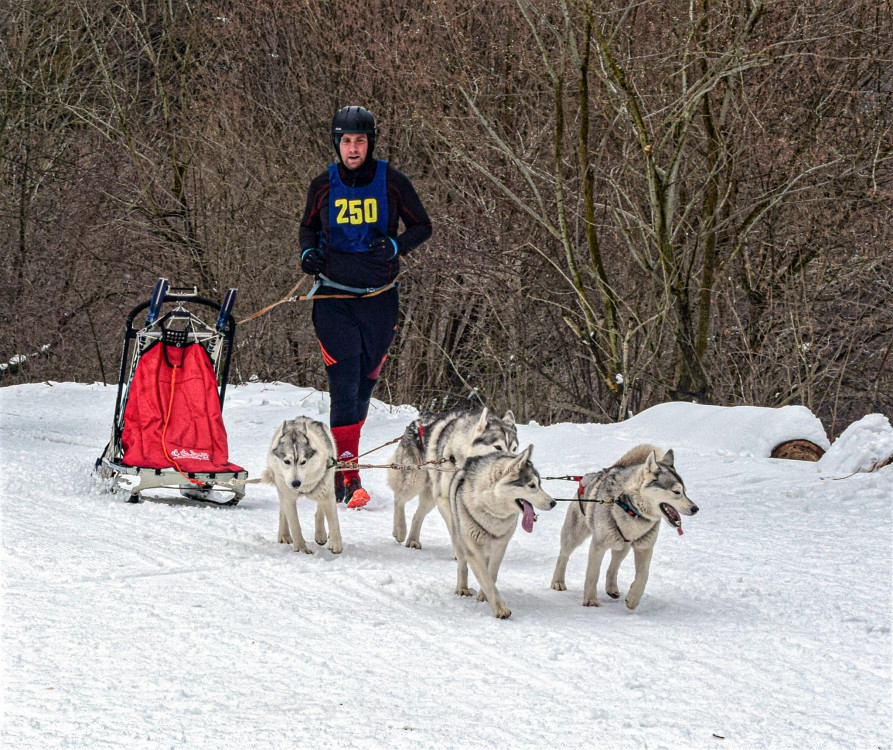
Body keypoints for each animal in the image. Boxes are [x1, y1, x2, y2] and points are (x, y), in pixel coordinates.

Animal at [262, 420, 342, 556]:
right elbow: (294, 524)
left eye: (303, 462)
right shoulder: (288, 498)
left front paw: (336, 544)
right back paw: (284, 535)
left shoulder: (327, 494)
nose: (296, 483)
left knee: (320, 510)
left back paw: (321, 534)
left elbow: (334, 522)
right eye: (286, 461)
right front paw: (300, 548)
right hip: (282, 490)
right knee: (283, 512)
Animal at [386, 412, 516, 552]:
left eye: (514, 449)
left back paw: (413, 540)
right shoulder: (444, 499)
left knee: (417, 515)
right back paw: (400, 530)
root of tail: (415, 423)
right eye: (498, 447)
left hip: (430, 497)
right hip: (414, 482)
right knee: (399, 499)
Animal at [450, 446, 556, 616]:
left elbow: (491, 575)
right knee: (462, 564)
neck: (492, 511)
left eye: (540, 484)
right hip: (458, 539)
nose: (554, 503)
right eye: (532, 485)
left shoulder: (500, 546)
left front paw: (484, 596)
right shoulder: (473, 550)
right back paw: (462, 588)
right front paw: (500, 609)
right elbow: (485, 578)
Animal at [552, 446, 696, 612]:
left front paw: (633, 599)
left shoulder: (644, 548)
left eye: (685, 491)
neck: (632, 511)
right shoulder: (598, 546)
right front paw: (590, 600)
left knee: (613, 566)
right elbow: (592, 574)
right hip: (575, 535)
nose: (695, 508)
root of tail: (596, 474)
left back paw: (612, 588)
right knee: (563, 555)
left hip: (622, 545)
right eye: (677, 491)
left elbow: (643, 575)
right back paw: (558, 581)